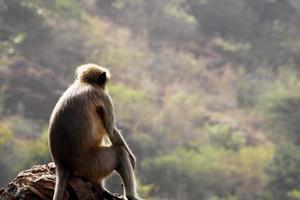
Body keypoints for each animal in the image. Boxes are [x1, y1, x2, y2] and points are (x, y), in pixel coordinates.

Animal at [49, 64, 143, 200]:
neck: (85, 83)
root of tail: (62, 165)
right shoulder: (104, 97)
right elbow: (111, 130)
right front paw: (132, 158)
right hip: (92, 164)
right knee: (119, 152)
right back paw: (131, 196)